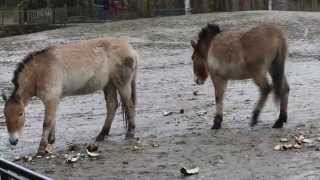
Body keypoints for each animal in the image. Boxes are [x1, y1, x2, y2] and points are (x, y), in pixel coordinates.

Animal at [2, 37, 138, 155]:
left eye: (20, 113)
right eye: (5, 114)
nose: (13, 141)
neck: (40, 70)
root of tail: (130, 48)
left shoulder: (51, 100)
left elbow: (47, 123)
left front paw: (41, 148)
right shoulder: (53, 100)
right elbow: (52, 120)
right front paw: (51, 141)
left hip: (122, 84)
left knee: (129, 104)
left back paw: (130, 132)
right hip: (108, 84)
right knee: (112, 105)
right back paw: (101, 135)